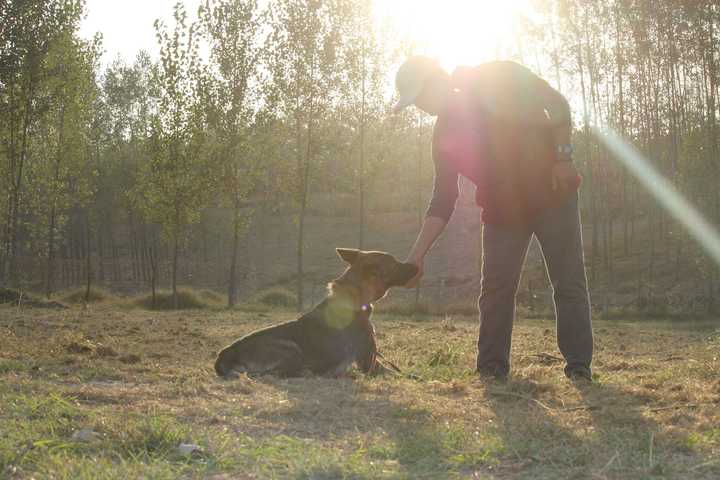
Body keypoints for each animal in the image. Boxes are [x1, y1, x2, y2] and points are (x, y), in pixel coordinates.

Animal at [214, 248, 416, 378]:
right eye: (394, 263)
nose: (416, 266)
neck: (356, 300)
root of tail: (224, 355)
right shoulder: (369, 363)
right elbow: (401, 375)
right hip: (290, 348)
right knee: (270, 374)